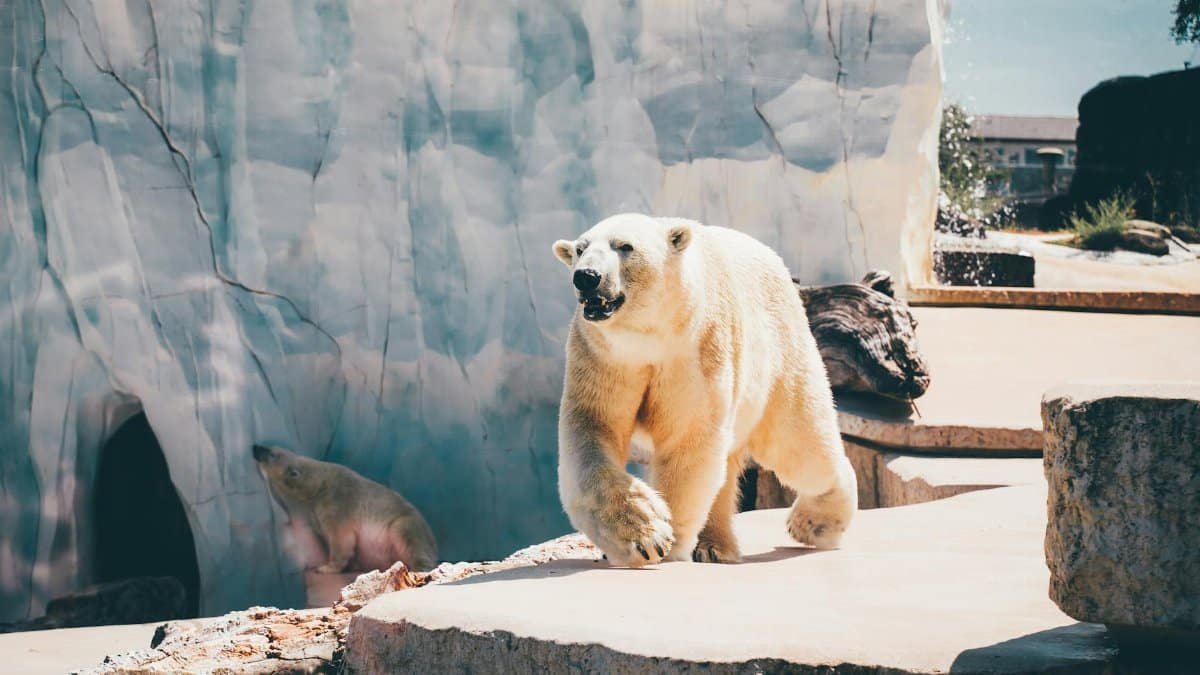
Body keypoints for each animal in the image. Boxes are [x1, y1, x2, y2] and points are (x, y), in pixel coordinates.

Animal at [252, 445, 438, 572]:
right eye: (270, 448)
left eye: (271, 453)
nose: (255, 447)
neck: (320, 484)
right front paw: (349, 565)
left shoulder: (338, 502)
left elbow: (341, 537)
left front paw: (326, 567)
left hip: (403, 522)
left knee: (408, 537)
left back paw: (420, 566)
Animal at [551, 213, 857, 566]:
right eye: (580, 249)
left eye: (625, 246)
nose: (586, 277)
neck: (648, 338)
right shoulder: (603, 357)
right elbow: (592, 431)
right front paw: (645, 536)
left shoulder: (695, 350)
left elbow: (687, 441)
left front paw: (666, 545)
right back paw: (715, 546)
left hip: (780, 355)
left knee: (799, 445)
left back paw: (811, 523)